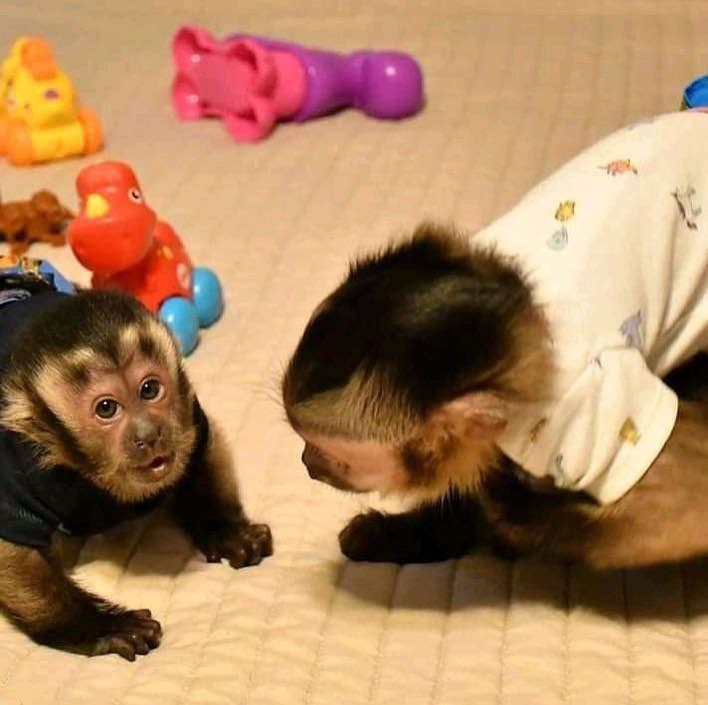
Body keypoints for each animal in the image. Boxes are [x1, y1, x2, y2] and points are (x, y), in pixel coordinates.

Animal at [0, 263, 272, 661]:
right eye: (106, 408)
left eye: (150, 389)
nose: (149, 435)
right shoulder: (17, 466)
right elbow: (12, 554)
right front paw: (105, 627)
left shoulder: (190, 416)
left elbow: (200, 455)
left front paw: (226, 530)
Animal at [282, 110, 708, 571]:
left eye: (329, 452)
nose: (304, 462)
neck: (521, 311)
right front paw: (413, 532)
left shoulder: (580, 412)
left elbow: (684, 502)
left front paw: (506, 514)